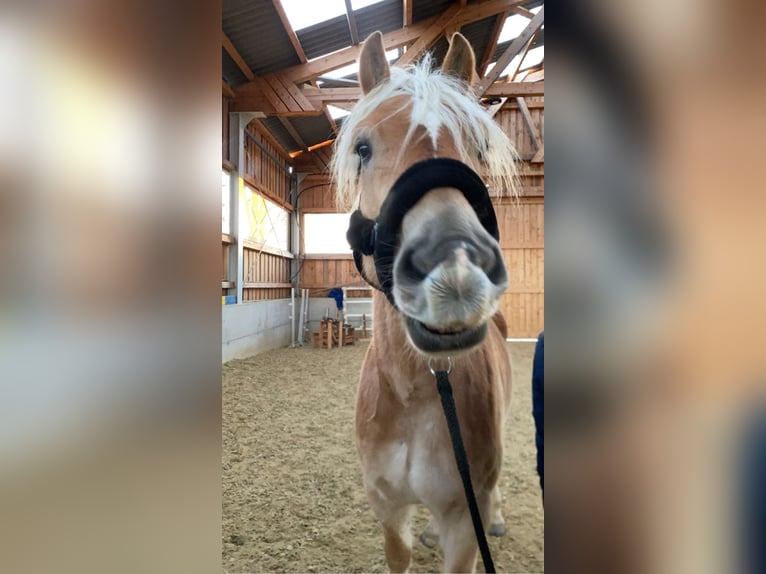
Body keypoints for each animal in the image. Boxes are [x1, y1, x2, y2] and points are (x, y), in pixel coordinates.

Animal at [332, 31, 520, 574]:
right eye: (363, 147)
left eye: (479, 147)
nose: (454, 272)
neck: (418, 394)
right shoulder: (388, 509)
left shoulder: (464, 522)